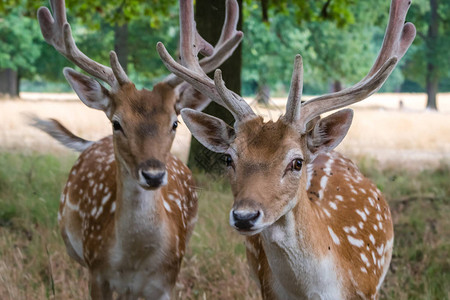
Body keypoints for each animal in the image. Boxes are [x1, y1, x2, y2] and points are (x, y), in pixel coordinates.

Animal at [35, 0, 243, 298]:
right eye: (117, 123)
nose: (153, 175)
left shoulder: (168, 279)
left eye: (175, 122)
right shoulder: (96, 272)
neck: (134, 259)